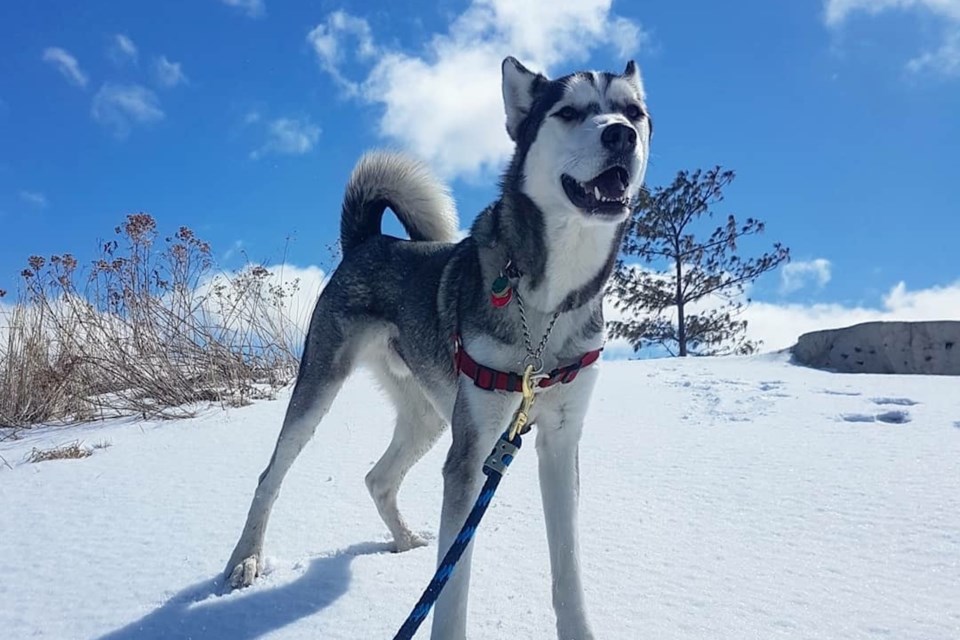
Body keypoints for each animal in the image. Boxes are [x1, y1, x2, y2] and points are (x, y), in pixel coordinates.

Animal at [221, 57, 648, 636]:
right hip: (322, 388)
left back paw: (403, 541)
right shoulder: (470, 457)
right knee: (271, 475)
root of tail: (370, 241)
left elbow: (568, 571)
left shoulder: (560, 441)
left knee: (378, 478)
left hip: (428, 417)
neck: (547, 305)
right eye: (568, 112)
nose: (621, 135)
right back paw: (246, 560)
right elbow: (452, 591)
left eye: (634, 112)